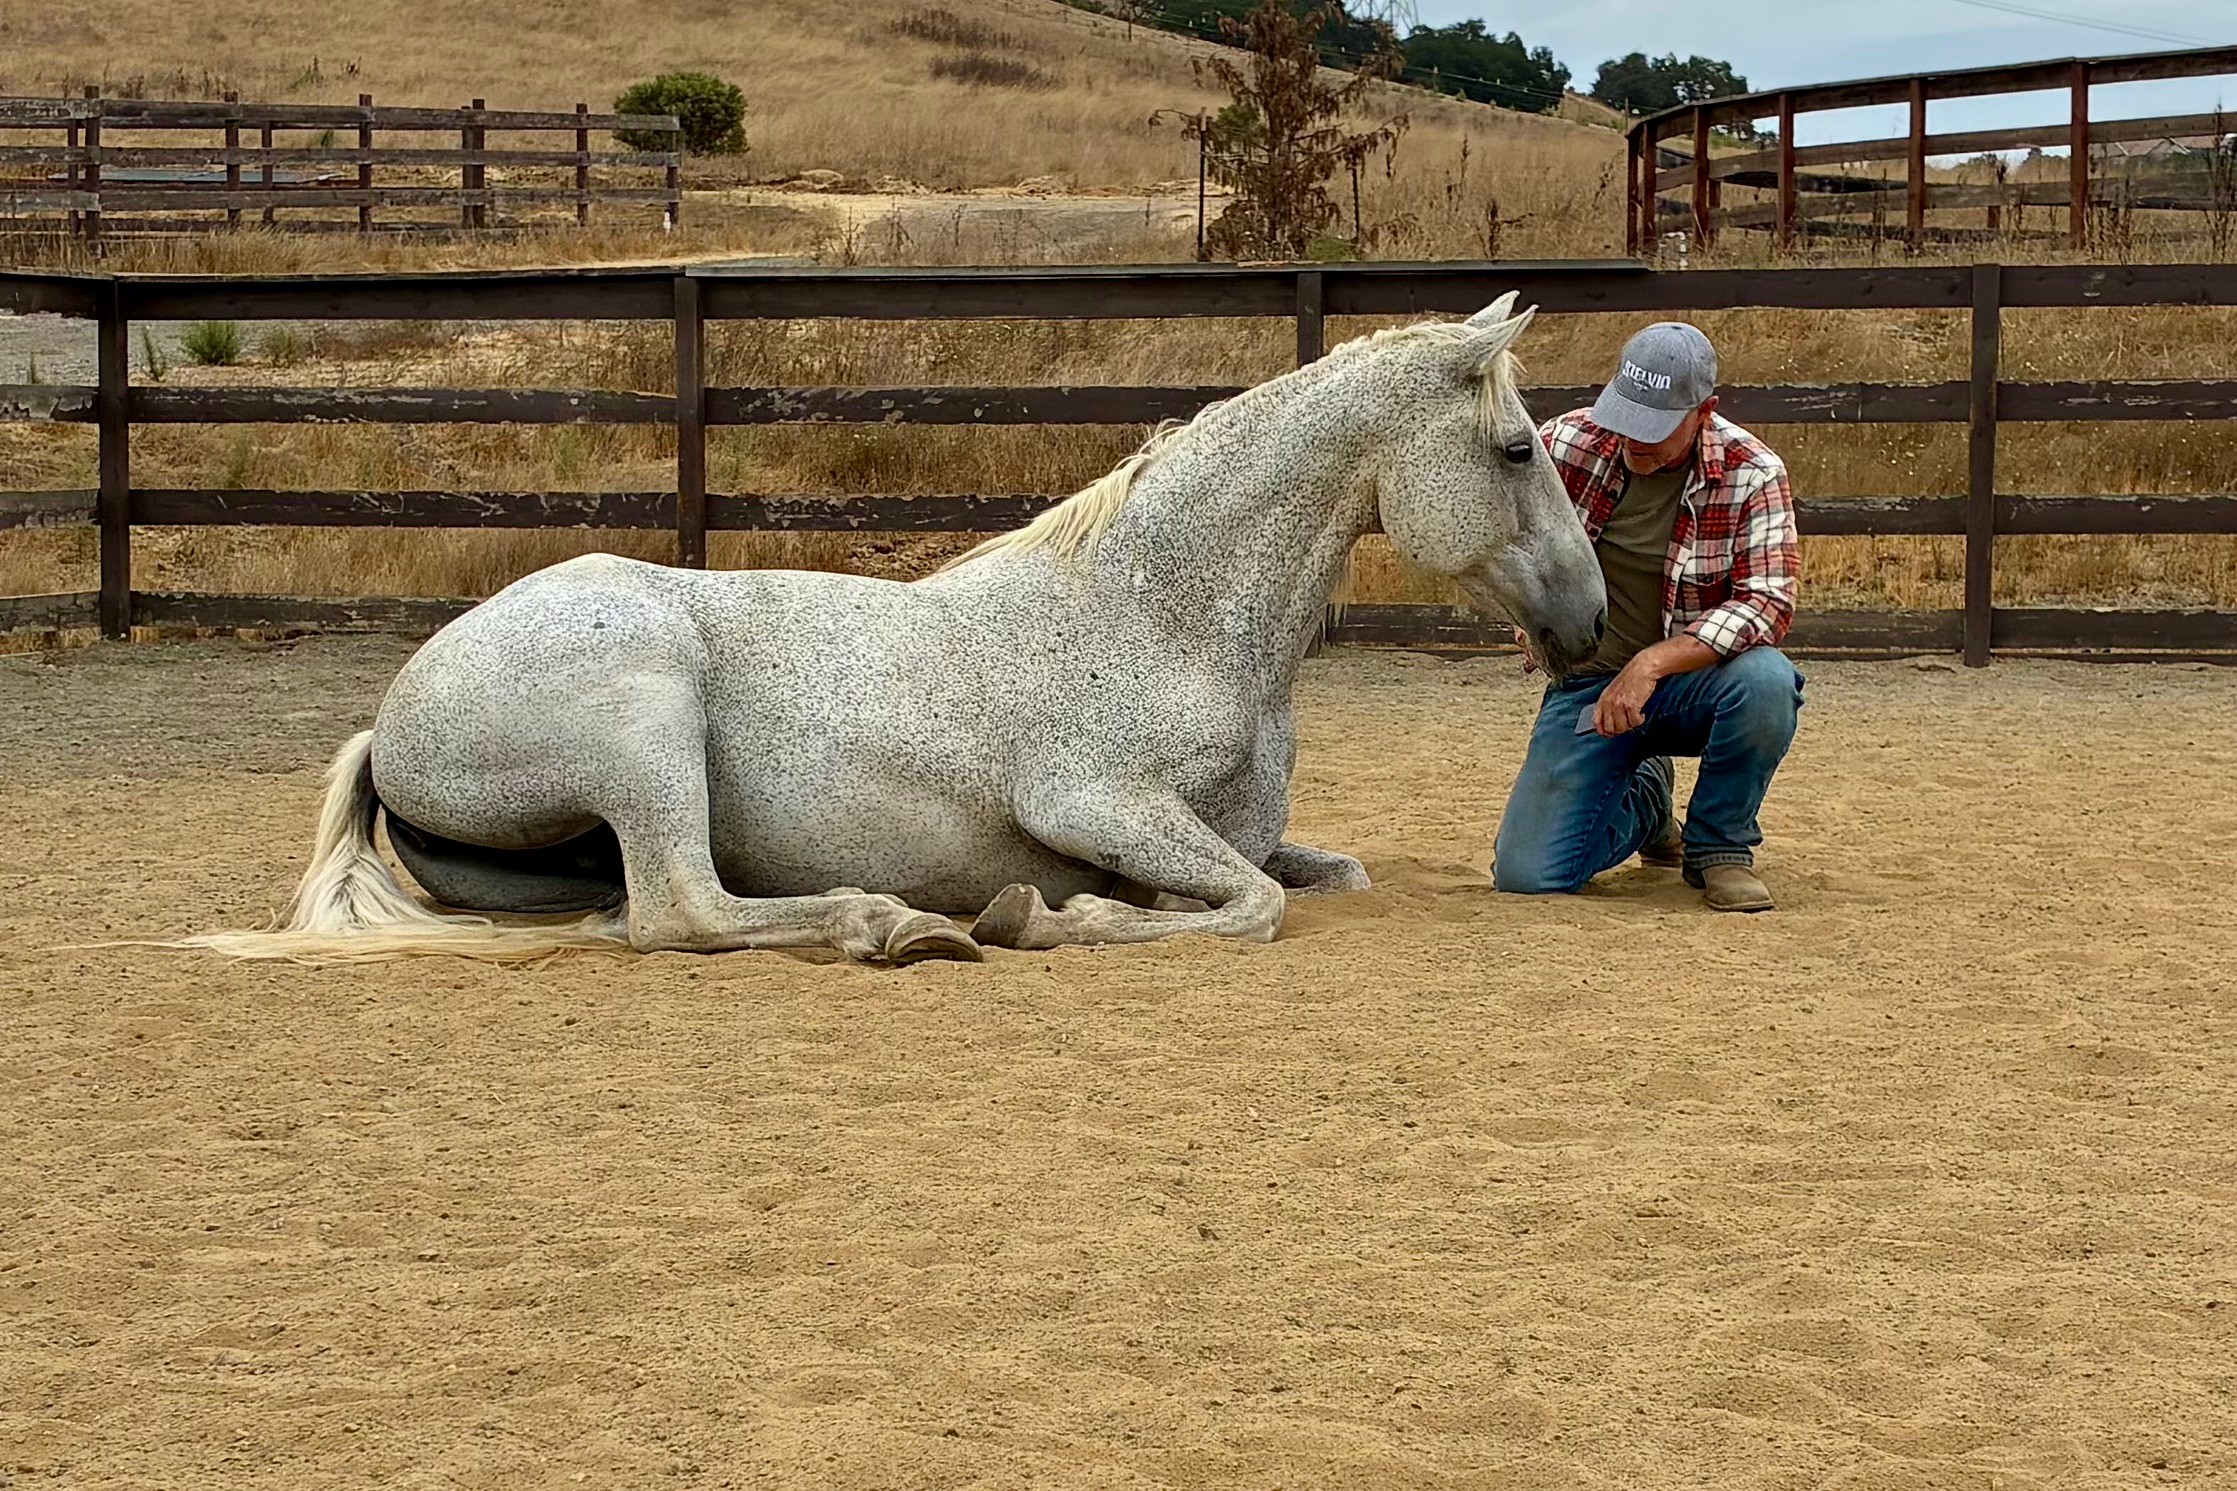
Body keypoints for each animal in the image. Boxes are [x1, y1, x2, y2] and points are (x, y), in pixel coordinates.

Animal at [179, 292, 1606, 965]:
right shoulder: (1086, 801)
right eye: (1515, 447)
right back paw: (892, 924)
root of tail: (390, 719)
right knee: (680, 913)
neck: (1162, 616)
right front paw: (1046, 918)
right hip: (645, 715)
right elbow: (1250, 906)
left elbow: (1316, 873)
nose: (1592, 620)